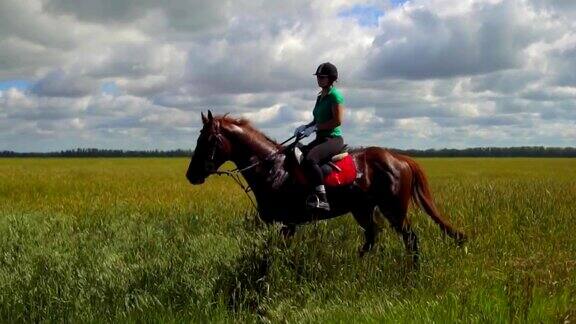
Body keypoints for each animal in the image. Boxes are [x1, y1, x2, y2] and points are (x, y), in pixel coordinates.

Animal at [187, 110, 466, 264]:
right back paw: (356, 266)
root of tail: (401, 159)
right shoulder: (277, 224)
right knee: (371, 238)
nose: (191, 175)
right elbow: (268, 253)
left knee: (410, 239)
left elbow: (272, 255)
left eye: (208, 140)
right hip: (363, 210)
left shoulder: (287, 224)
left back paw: (413, 271)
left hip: (394, 210)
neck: (272, 168)